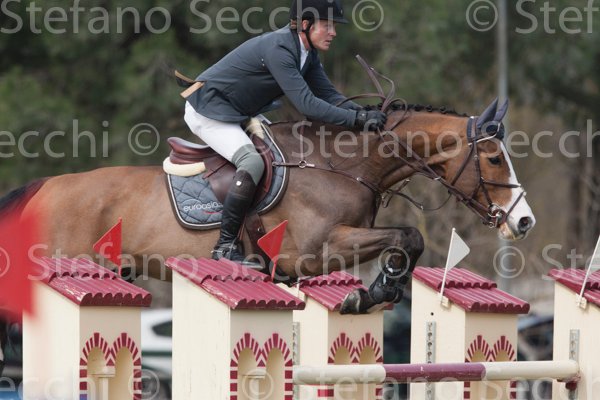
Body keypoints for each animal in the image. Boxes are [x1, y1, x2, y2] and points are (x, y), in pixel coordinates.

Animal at [2, 98, 534, 318]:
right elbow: (408, 236)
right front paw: (374, 293)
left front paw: (373, 293)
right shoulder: (314, 251)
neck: (342, 164)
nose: (523, 221)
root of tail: (44, 187)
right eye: (493, 157)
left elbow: (408, 240)